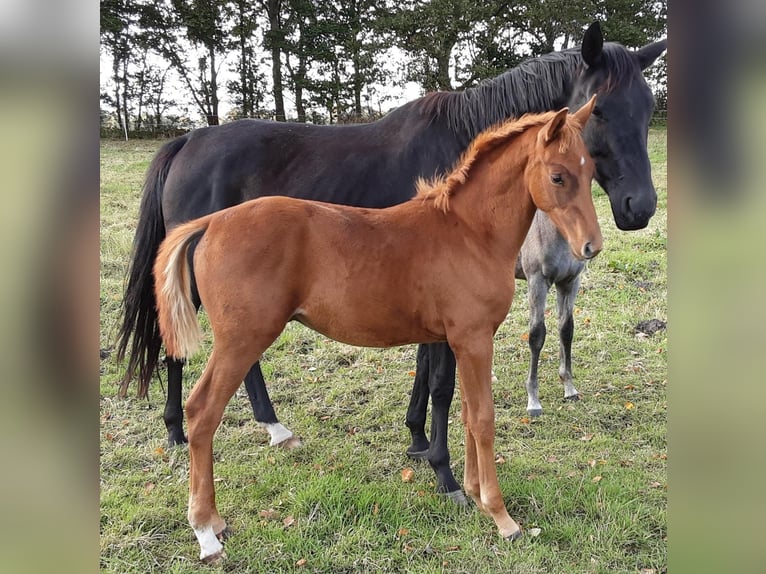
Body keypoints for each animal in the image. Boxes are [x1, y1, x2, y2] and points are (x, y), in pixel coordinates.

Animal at [117, 21, 668, 500]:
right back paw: (179, 431)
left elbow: (427, 373)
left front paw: (418, 440)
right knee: (177, 346)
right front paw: (442, 467)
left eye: (647, 110)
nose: (639, 208)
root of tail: (188, 140)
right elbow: (442, 381)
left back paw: (270, 427)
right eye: (599, 112)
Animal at [154, 99, 600, 564]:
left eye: (590, 171)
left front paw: (474, 493)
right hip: (240, 341)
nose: (591, 246)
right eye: (557, 175)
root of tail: (211, 223)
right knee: (202, 411)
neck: (468, 232)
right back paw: (206, 531)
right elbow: (482, 418)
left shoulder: (461, 342)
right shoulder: (473, 339)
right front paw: (500, 516)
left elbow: (464, 413)